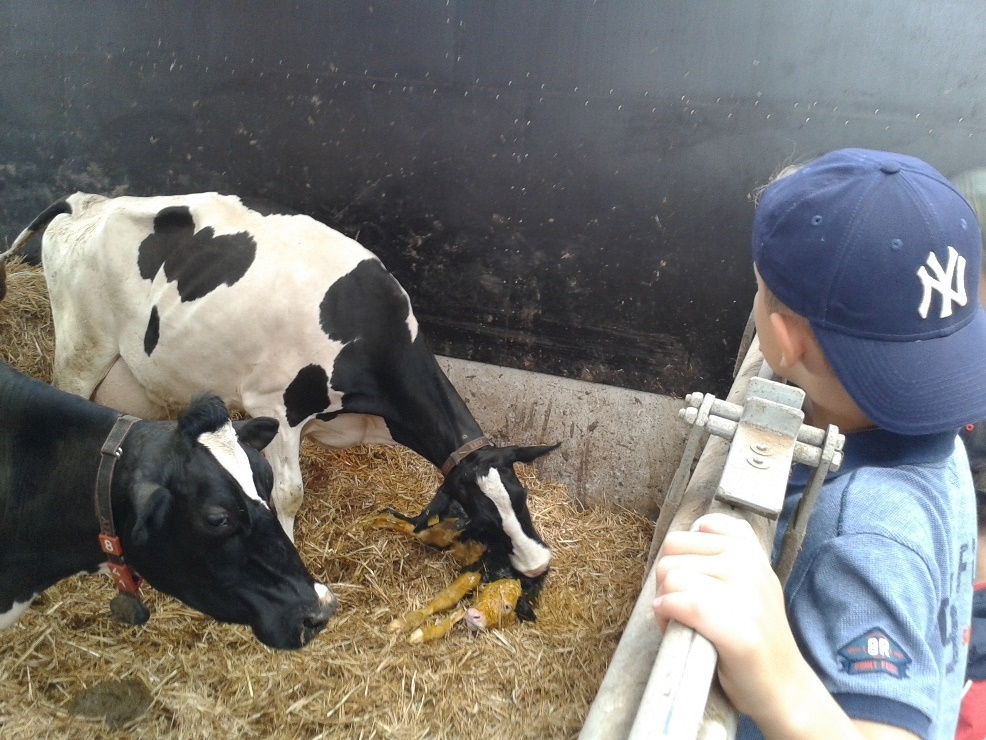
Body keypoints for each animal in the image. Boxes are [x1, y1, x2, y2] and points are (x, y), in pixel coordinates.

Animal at [0, 192, 552, 584]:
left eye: (521, 497)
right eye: (480, 518)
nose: (537, 564)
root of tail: (89, 201)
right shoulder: (279, 405)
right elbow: (288, 493)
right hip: (81, 350)